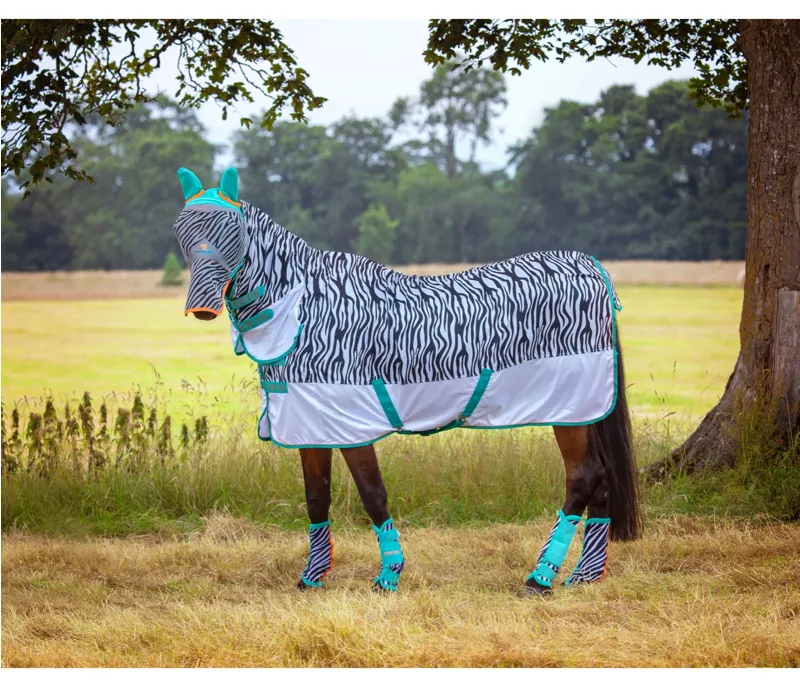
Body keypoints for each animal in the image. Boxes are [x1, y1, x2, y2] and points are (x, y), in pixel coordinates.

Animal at [172, 166, 641, 594]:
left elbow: (372, 494)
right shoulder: (310, 423)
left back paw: (540, 578)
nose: (201, 307)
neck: (306, 312)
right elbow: (316, 497)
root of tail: (591, 267)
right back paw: (583, 576)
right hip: (584, 412)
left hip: (569, 410)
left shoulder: (352, 424)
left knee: (582, 476)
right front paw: (312, 578)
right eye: (180, 229)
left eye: (231, 230)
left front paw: (389, 576)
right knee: (602, 479)